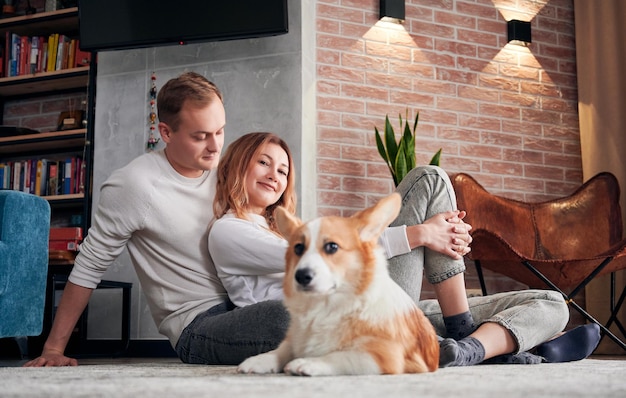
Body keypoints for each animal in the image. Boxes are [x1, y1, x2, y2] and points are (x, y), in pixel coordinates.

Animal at [236, 193, 436, 376]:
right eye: (298, 248)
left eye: (331, 247)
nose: (301, 276)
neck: (325, 307)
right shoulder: (293, 340)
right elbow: (280, 351)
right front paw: (258, 360)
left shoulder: (383, 357)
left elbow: (340, 356)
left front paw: (307, 362)